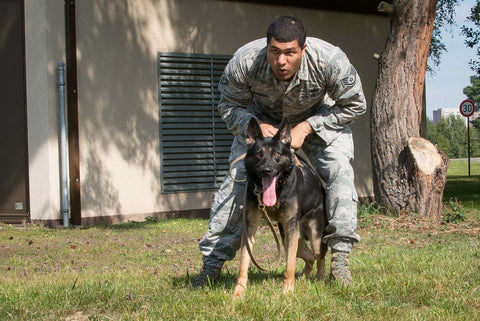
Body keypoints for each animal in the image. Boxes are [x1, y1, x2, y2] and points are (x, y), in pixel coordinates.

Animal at [233, 119, 330, 296]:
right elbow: (244, 261)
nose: (266, 170)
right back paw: (303, 277)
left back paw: (319, 279)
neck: (278, 190)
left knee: (319, 256)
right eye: (258, 154)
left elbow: (289, 265)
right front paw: (239, 292)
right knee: (309, 256)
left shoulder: (291, 228)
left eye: (276, 154)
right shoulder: (250, 227)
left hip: (313, 237)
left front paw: (287, 292)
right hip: (289, 238)